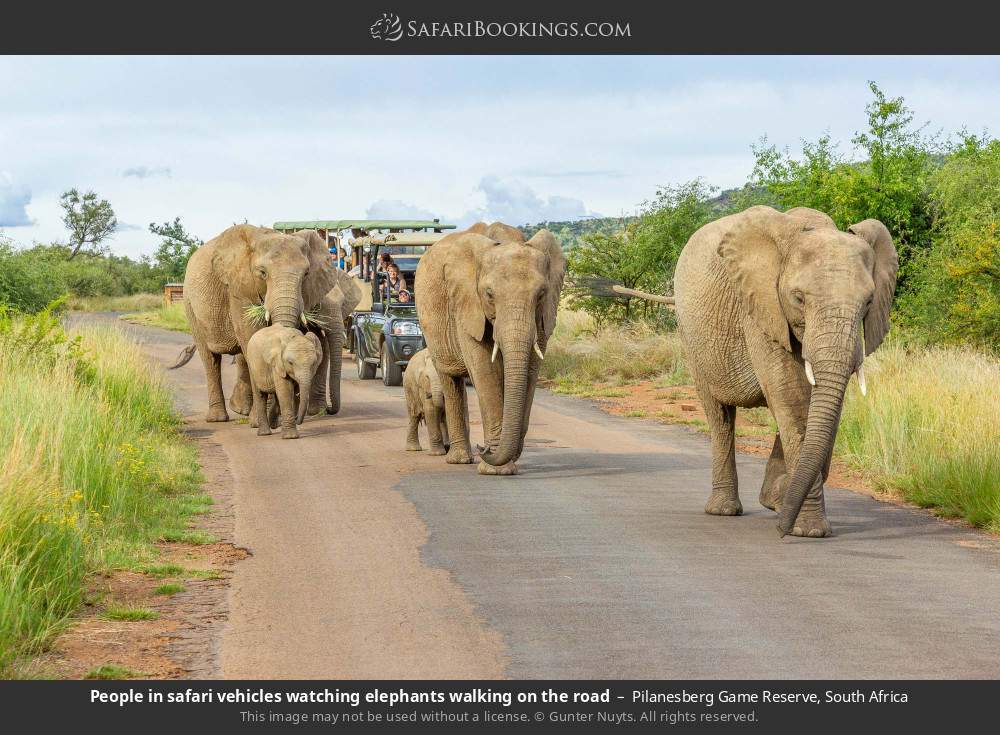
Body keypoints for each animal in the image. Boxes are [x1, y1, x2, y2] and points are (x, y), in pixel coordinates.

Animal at [170, 224, 358, 422]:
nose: (330, 410)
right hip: (190, 305)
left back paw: (241, 410)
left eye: (306, 274)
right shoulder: (239, 289)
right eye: (262, 273)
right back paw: (218, 418)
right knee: (210, 358)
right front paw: (263, 419)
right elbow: (250, 333)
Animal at [415, 221, 566, 475]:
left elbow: (531, 372)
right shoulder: (467, 305)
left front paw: (506, 460)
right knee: (449, 378)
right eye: (489, 294)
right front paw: (496, 469)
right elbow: (486, 370)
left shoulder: (545, 314)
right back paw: (459, 459)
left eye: (541, 294)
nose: (483, 449)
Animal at [670, 205, 898, 537]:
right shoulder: (761, 308)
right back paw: (724, 510)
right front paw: (809, 530)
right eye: (798, 298)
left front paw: (781, 498)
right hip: (690, 336)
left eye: (869, 301)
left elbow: (816, 409)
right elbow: (791, 399)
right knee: (719, 415)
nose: (781, 531)